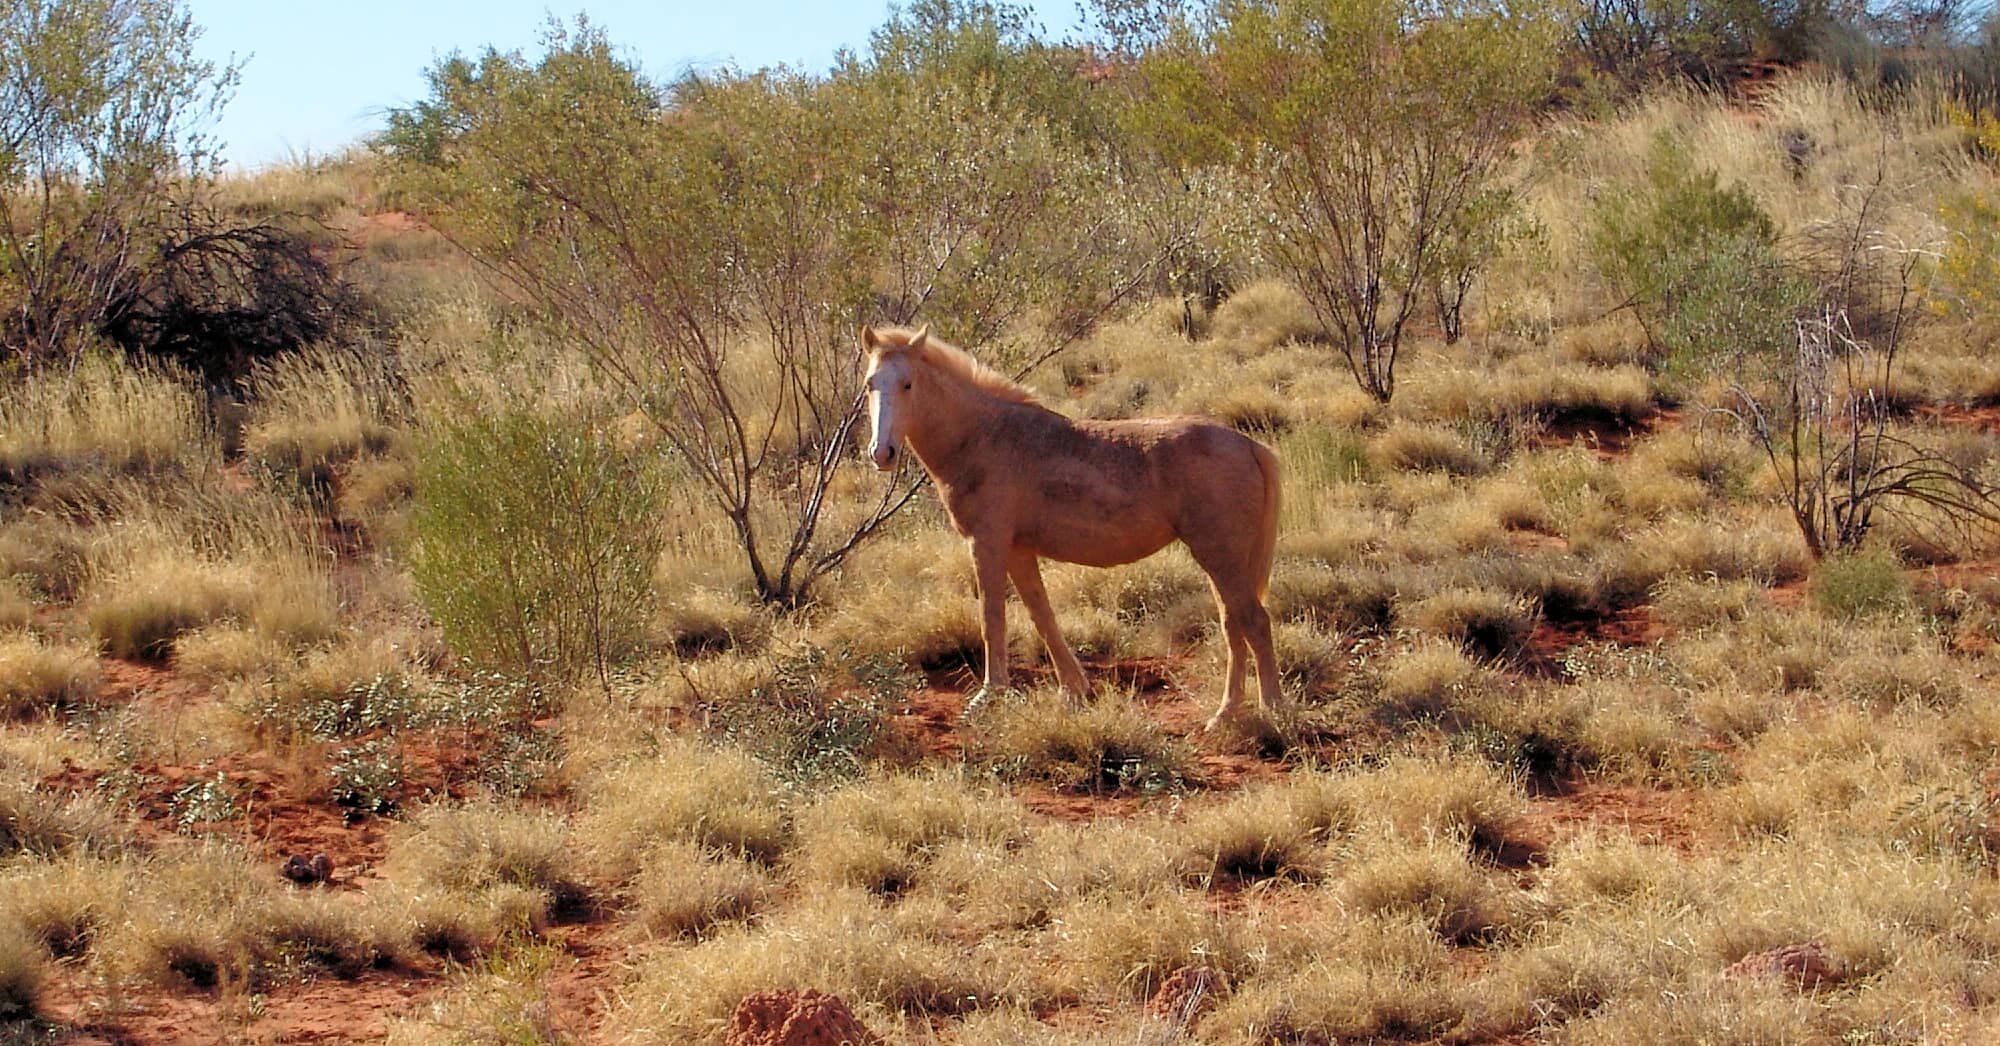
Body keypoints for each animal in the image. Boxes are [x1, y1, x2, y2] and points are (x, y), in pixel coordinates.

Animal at [860, 324, 1285, 733]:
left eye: (908, 383)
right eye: (870, 384)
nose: (882, 453)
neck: (983, 436)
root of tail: (1249, 446)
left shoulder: (987, 543)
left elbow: (992, 619)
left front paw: (986, 698)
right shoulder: (1018, 550)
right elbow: (1042, 616)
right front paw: (1074, 690)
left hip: (1219, 555)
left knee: (1254, 622)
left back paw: (1272, 710)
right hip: (1221, 561)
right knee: (1233, 626)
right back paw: (1225, 715)